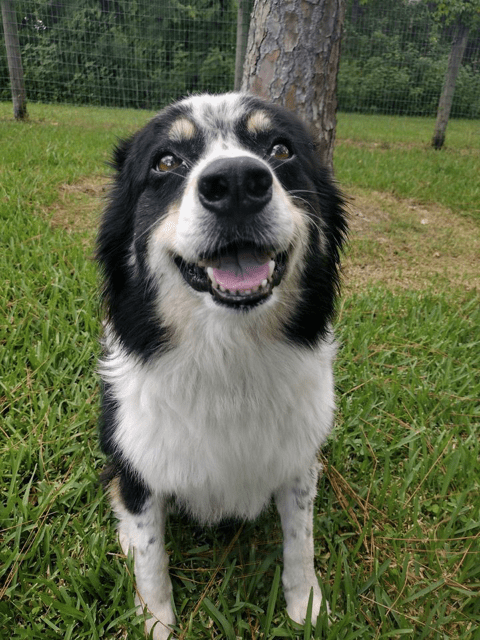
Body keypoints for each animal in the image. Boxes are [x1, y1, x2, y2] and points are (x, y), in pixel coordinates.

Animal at [96, 94, 344, 640]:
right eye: (166, 162)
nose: (234, 183)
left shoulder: (298, 460)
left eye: (281, 149)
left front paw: (306, 608)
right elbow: (152, 557)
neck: (230, 358)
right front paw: (156, 622)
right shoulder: (140, 460)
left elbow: (301, 540)